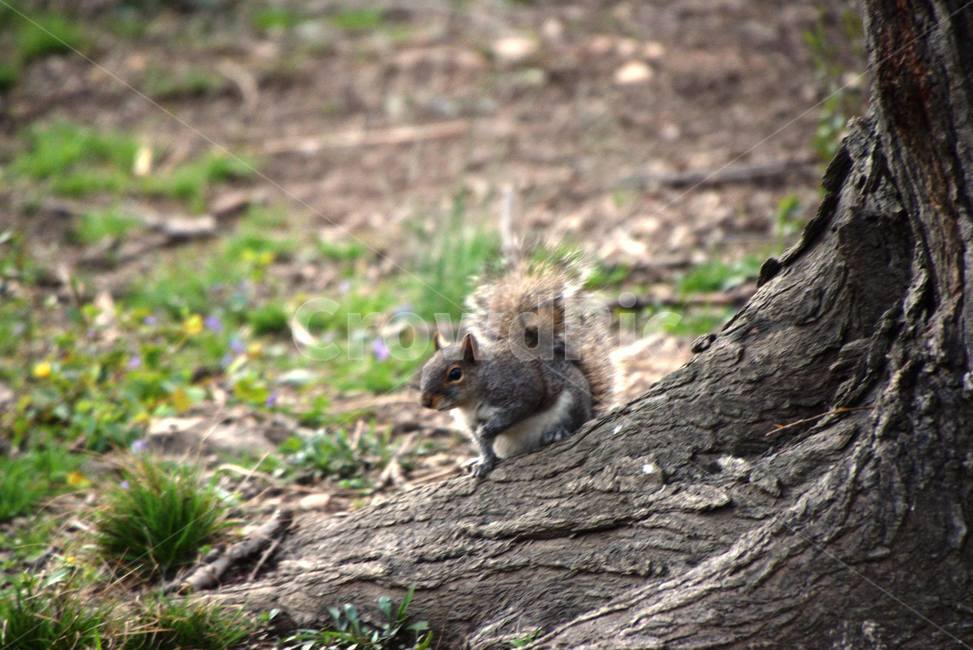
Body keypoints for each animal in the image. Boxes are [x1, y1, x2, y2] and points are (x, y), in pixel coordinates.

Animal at [419, 260, 616, 477]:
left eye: (455, 374)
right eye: (425, 369)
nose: (426, 402)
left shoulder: (522, 389)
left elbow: (516, 411)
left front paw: (488, 430)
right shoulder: (470, 423)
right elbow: (483, 445)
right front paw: (484, 461)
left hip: (572, 403)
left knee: (575, 422)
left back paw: (557, 432)